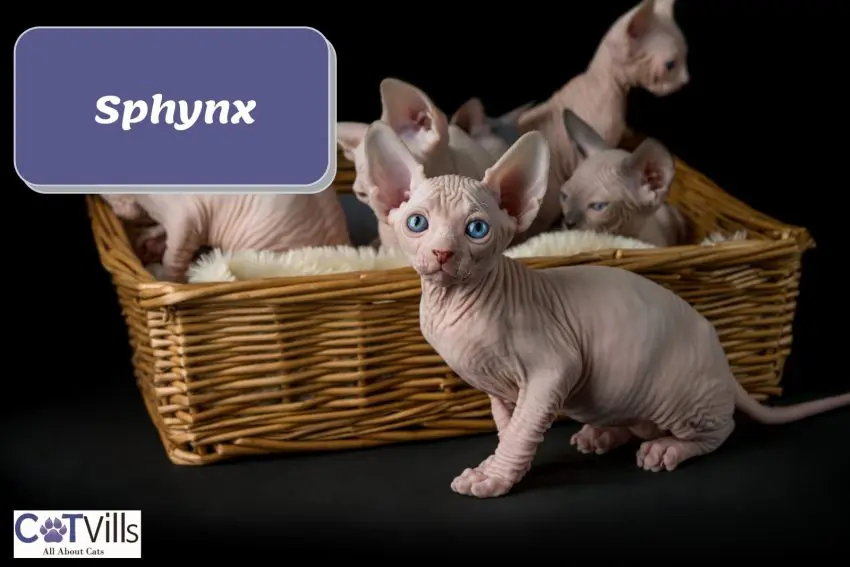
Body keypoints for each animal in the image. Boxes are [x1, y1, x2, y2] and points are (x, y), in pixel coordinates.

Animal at [100, 192, 348, 282]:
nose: (118, 213)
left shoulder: (187, 217)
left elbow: (174, 258)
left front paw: (168, 280)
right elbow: (162, 232)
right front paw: (147, 241)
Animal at [360, 122, 848, 500]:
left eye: (476, 229)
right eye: (417, 223)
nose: (442, 253)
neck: (456, 305)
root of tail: (724, 366)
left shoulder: (552, 369)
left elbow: (521, 430)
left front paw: (494, 478)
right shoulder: (499, 389)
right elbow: (509, 425)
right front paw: (499, 465)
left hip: (681, 396)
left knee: (719, 429)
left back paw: (668, 448)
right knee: (640, 423)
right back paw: (605, 433)